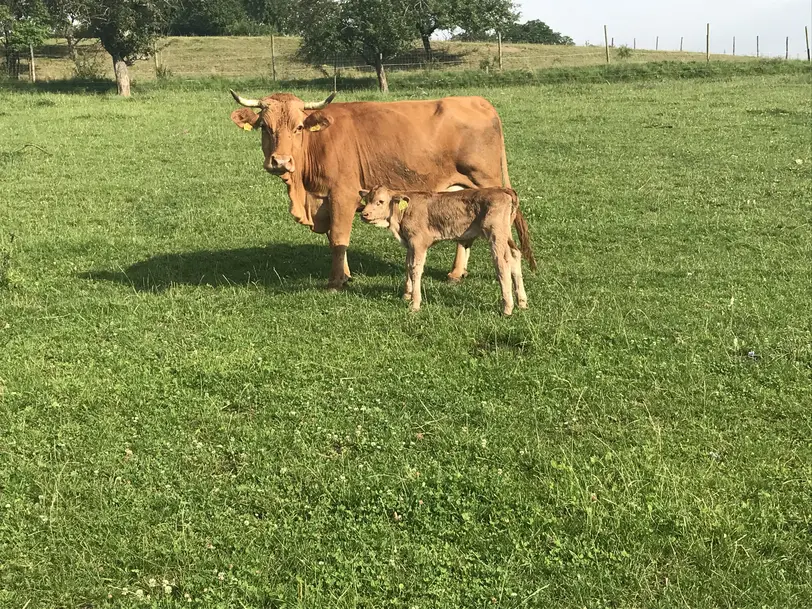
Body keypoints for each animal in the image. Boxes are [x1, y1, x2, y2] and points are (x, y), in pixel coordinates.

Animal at [228, 91, 520, 290]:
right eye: (264, 127)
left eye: (298, 127)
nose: (280, 161)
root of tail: (478, 101)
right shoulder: (326, 201)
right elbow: (334, 238)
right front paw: (345, 275)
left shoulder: (343, 195)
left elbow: (339, 238)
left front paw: (336, 281)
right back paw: (456, 273)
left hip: (486, 184)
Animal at [358, 185, 536, 316]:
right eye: (367, 200)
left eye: (380, 201)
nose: (364, 214)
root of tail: (502, 189)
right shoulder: (410, 244)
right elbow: (408, 265)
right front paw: (406, 295)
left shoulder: (418, 242)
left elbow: (416, 269)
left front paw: (415, 304)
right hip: (506, 235)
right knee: (515, 256)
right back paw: (522, 302)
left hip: (496, 235)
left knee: (502, 264)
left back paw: (507, 308)